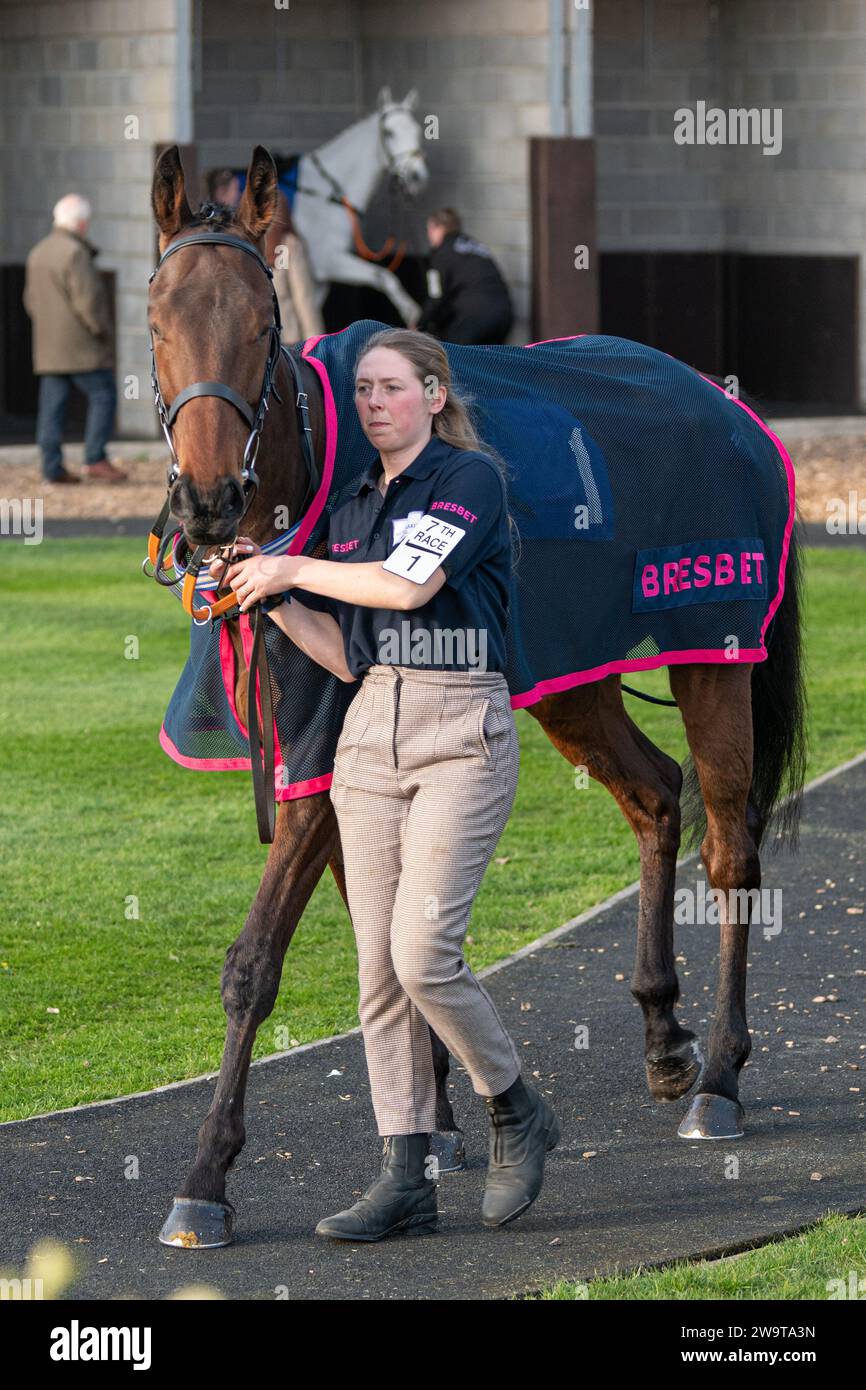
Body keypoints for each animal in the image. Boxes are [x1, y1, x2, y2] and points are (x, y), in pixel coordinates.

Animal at [147, 149, 806, 1251]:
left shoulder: (315, 760)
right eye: (156, 315)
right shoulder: (339, 769)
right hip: (568, 674)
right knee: (654, 792)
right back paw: (663, 1031)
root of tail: (732, 411)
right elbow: (383, 930)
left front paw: (204, 1176)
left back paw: (717, 1074)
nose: (204, 501)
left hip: (712, 639)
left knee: (728, 842)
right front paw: (439, 1124)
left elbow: (256, 961)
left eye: (262, 322)